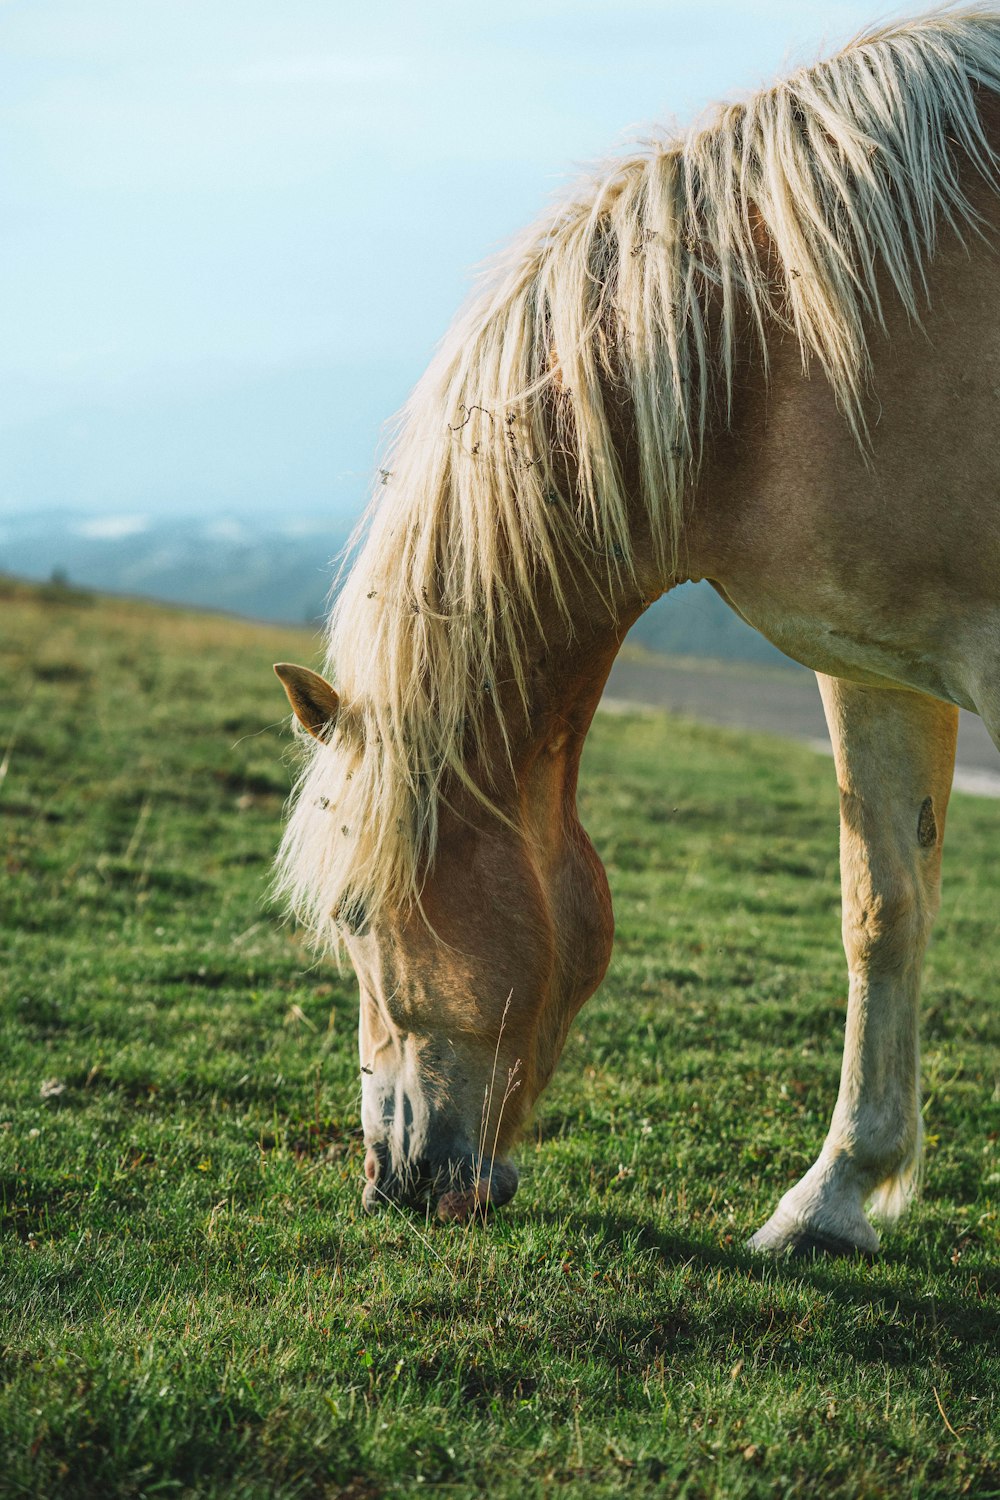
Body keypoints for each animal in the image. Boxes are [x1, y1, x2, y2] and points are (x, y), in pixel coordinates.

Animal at [271, 11, 1000, 1254]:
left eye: (358, 919)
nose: (393, 1180)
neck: (785, 341)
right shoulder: (876, 662)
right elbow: (882, 907)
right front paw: (834, 1195)